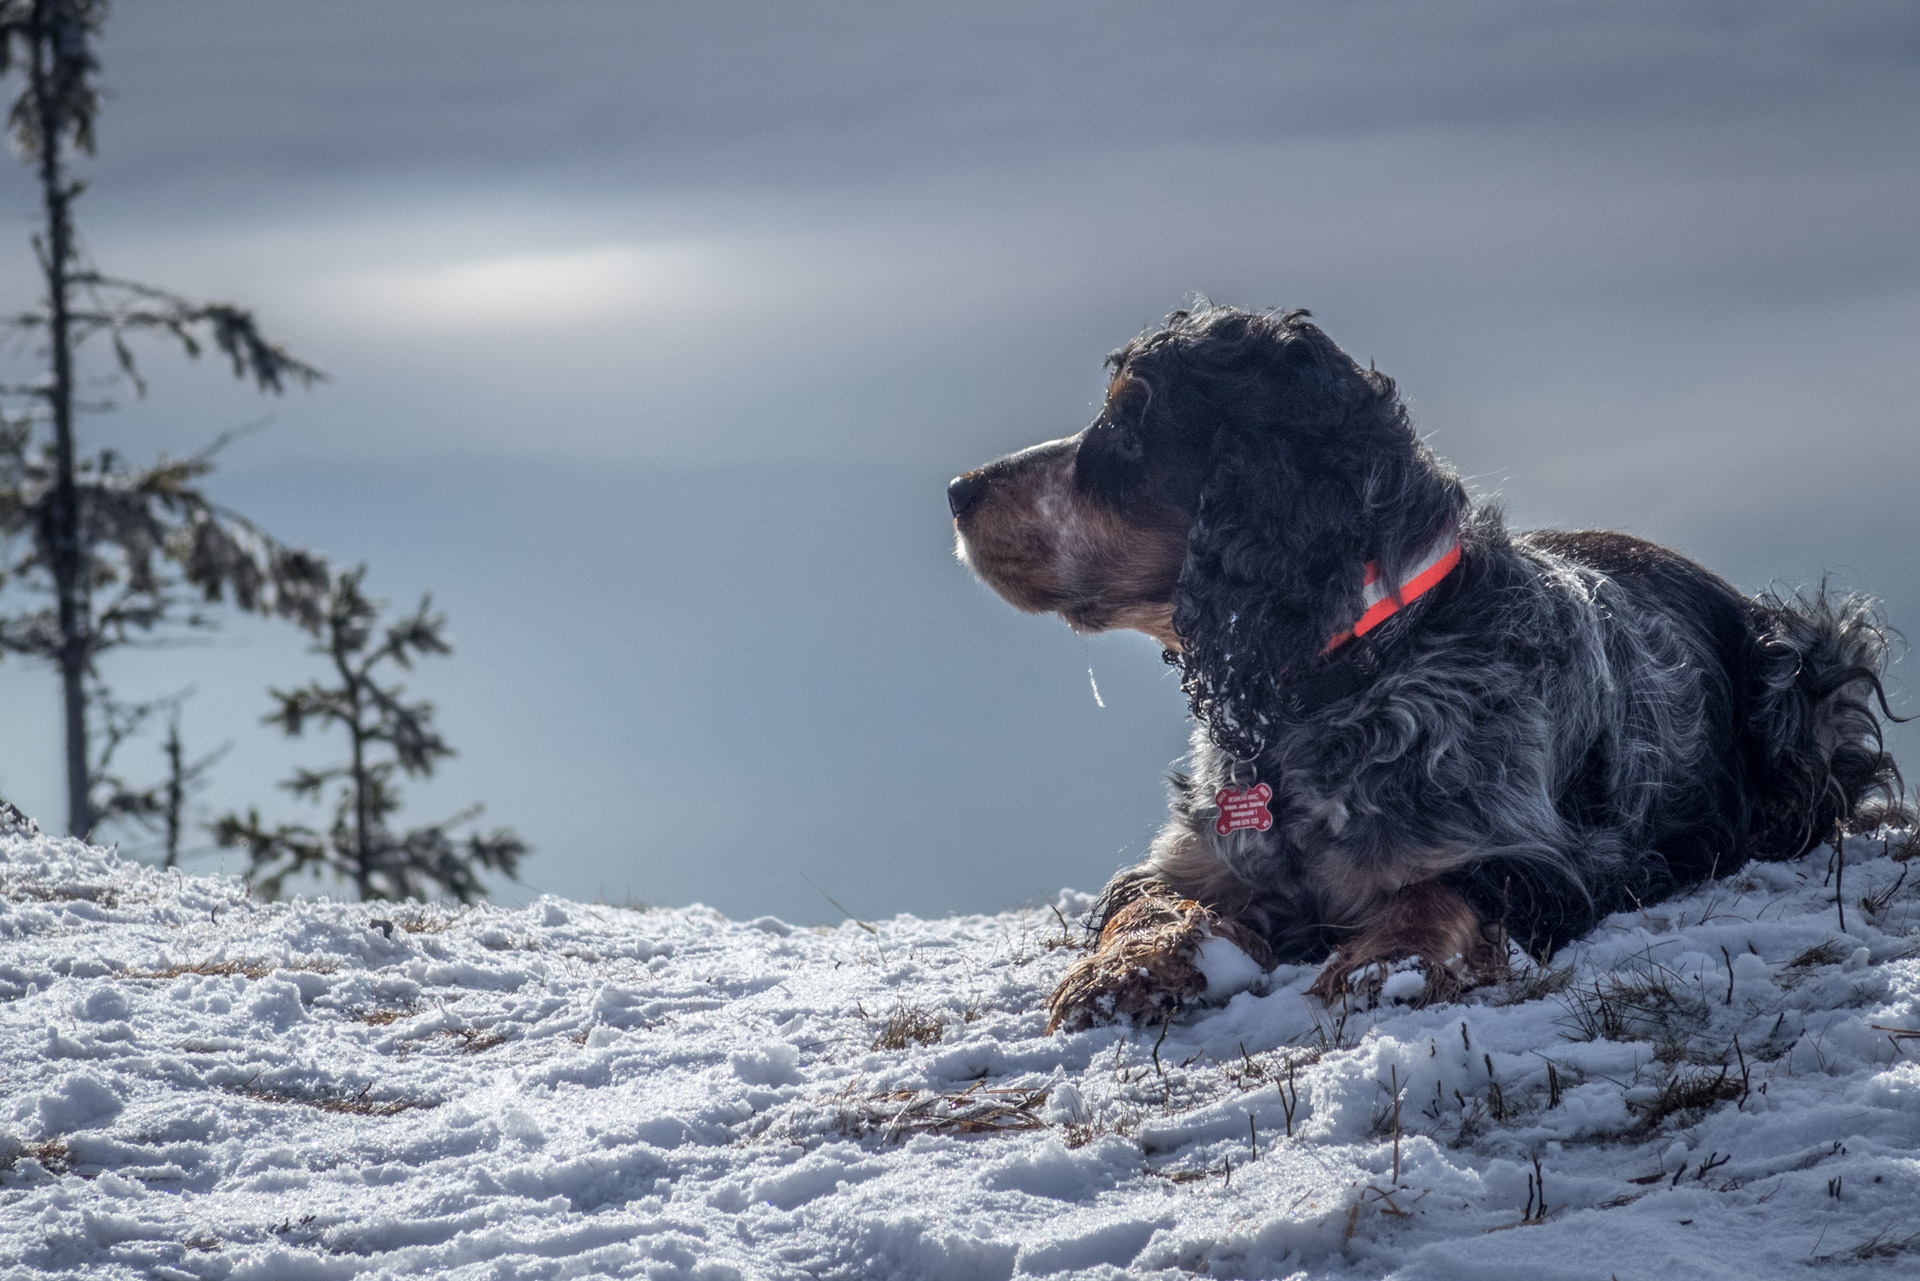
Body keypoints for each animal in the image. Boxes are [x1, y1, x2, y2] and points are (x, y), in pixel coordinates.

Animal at [948, 301, 1904, 1029]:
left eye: (1126, 426)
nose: (958, 489)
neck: (1333, 684)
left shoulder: (1542, 855)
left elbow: (1437, 891)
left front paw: (1383, 962)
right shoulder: (1201, 859)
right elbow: (1148, 902)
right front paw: (1121, 973)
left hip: (1808, 683)